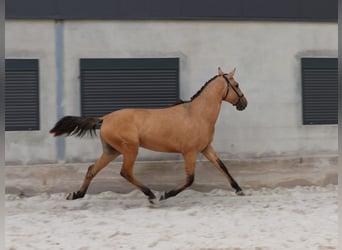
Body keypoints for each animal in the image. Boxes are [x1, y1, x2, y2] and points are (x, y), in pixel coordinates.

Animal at [50, 67, 248, 203]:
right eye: (236, 85)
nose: (244, 103)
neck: (197, 114)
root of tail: (105, 118)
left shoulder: (206, 148)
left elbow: (222, 166)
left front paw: (239, 190)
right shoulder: (190, 152)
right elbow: (190, 179)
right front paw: (166, 194)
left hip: (111, 150)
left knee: (92, 169)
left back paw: (76, 194)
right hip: (130, 149)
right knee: (125, 172)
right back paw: (151, 194)